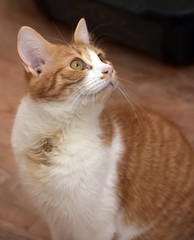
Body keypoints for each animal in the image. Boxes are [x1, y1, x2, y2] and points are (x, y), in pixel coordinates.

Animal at [11, 17, 194, 239]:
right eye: (77, 64)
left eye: (101, 58)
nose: (109, 70)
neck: (54, 136)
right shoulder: (57, 222)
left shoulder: (96, 227)